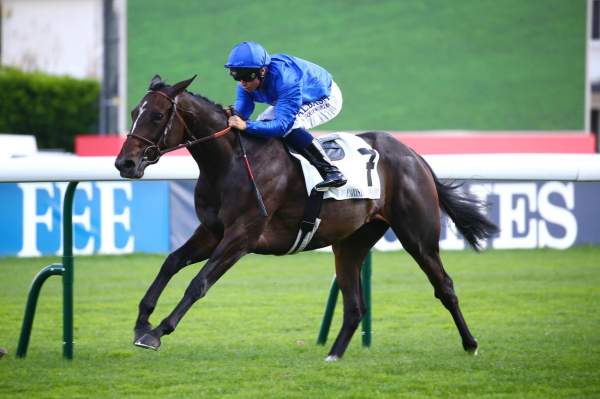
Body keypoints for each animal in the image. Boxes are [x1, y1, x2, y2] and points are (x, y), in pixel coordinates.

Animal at [113, 75, 496, 362]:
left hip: (417, 235)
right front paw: (141, 321)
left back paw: (471, 344)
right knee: (355, 305)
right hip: (351, 243)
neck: (230, 163)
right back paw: (333, 354)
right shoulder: (212, 231)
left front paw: (157, 332)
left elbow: (199, 283)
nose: (124, 163)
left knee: (444, 286)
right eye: (133, 112)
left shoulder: (242, 236)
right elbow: (171, 262)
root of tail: (413, 154)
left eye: (157, 116)